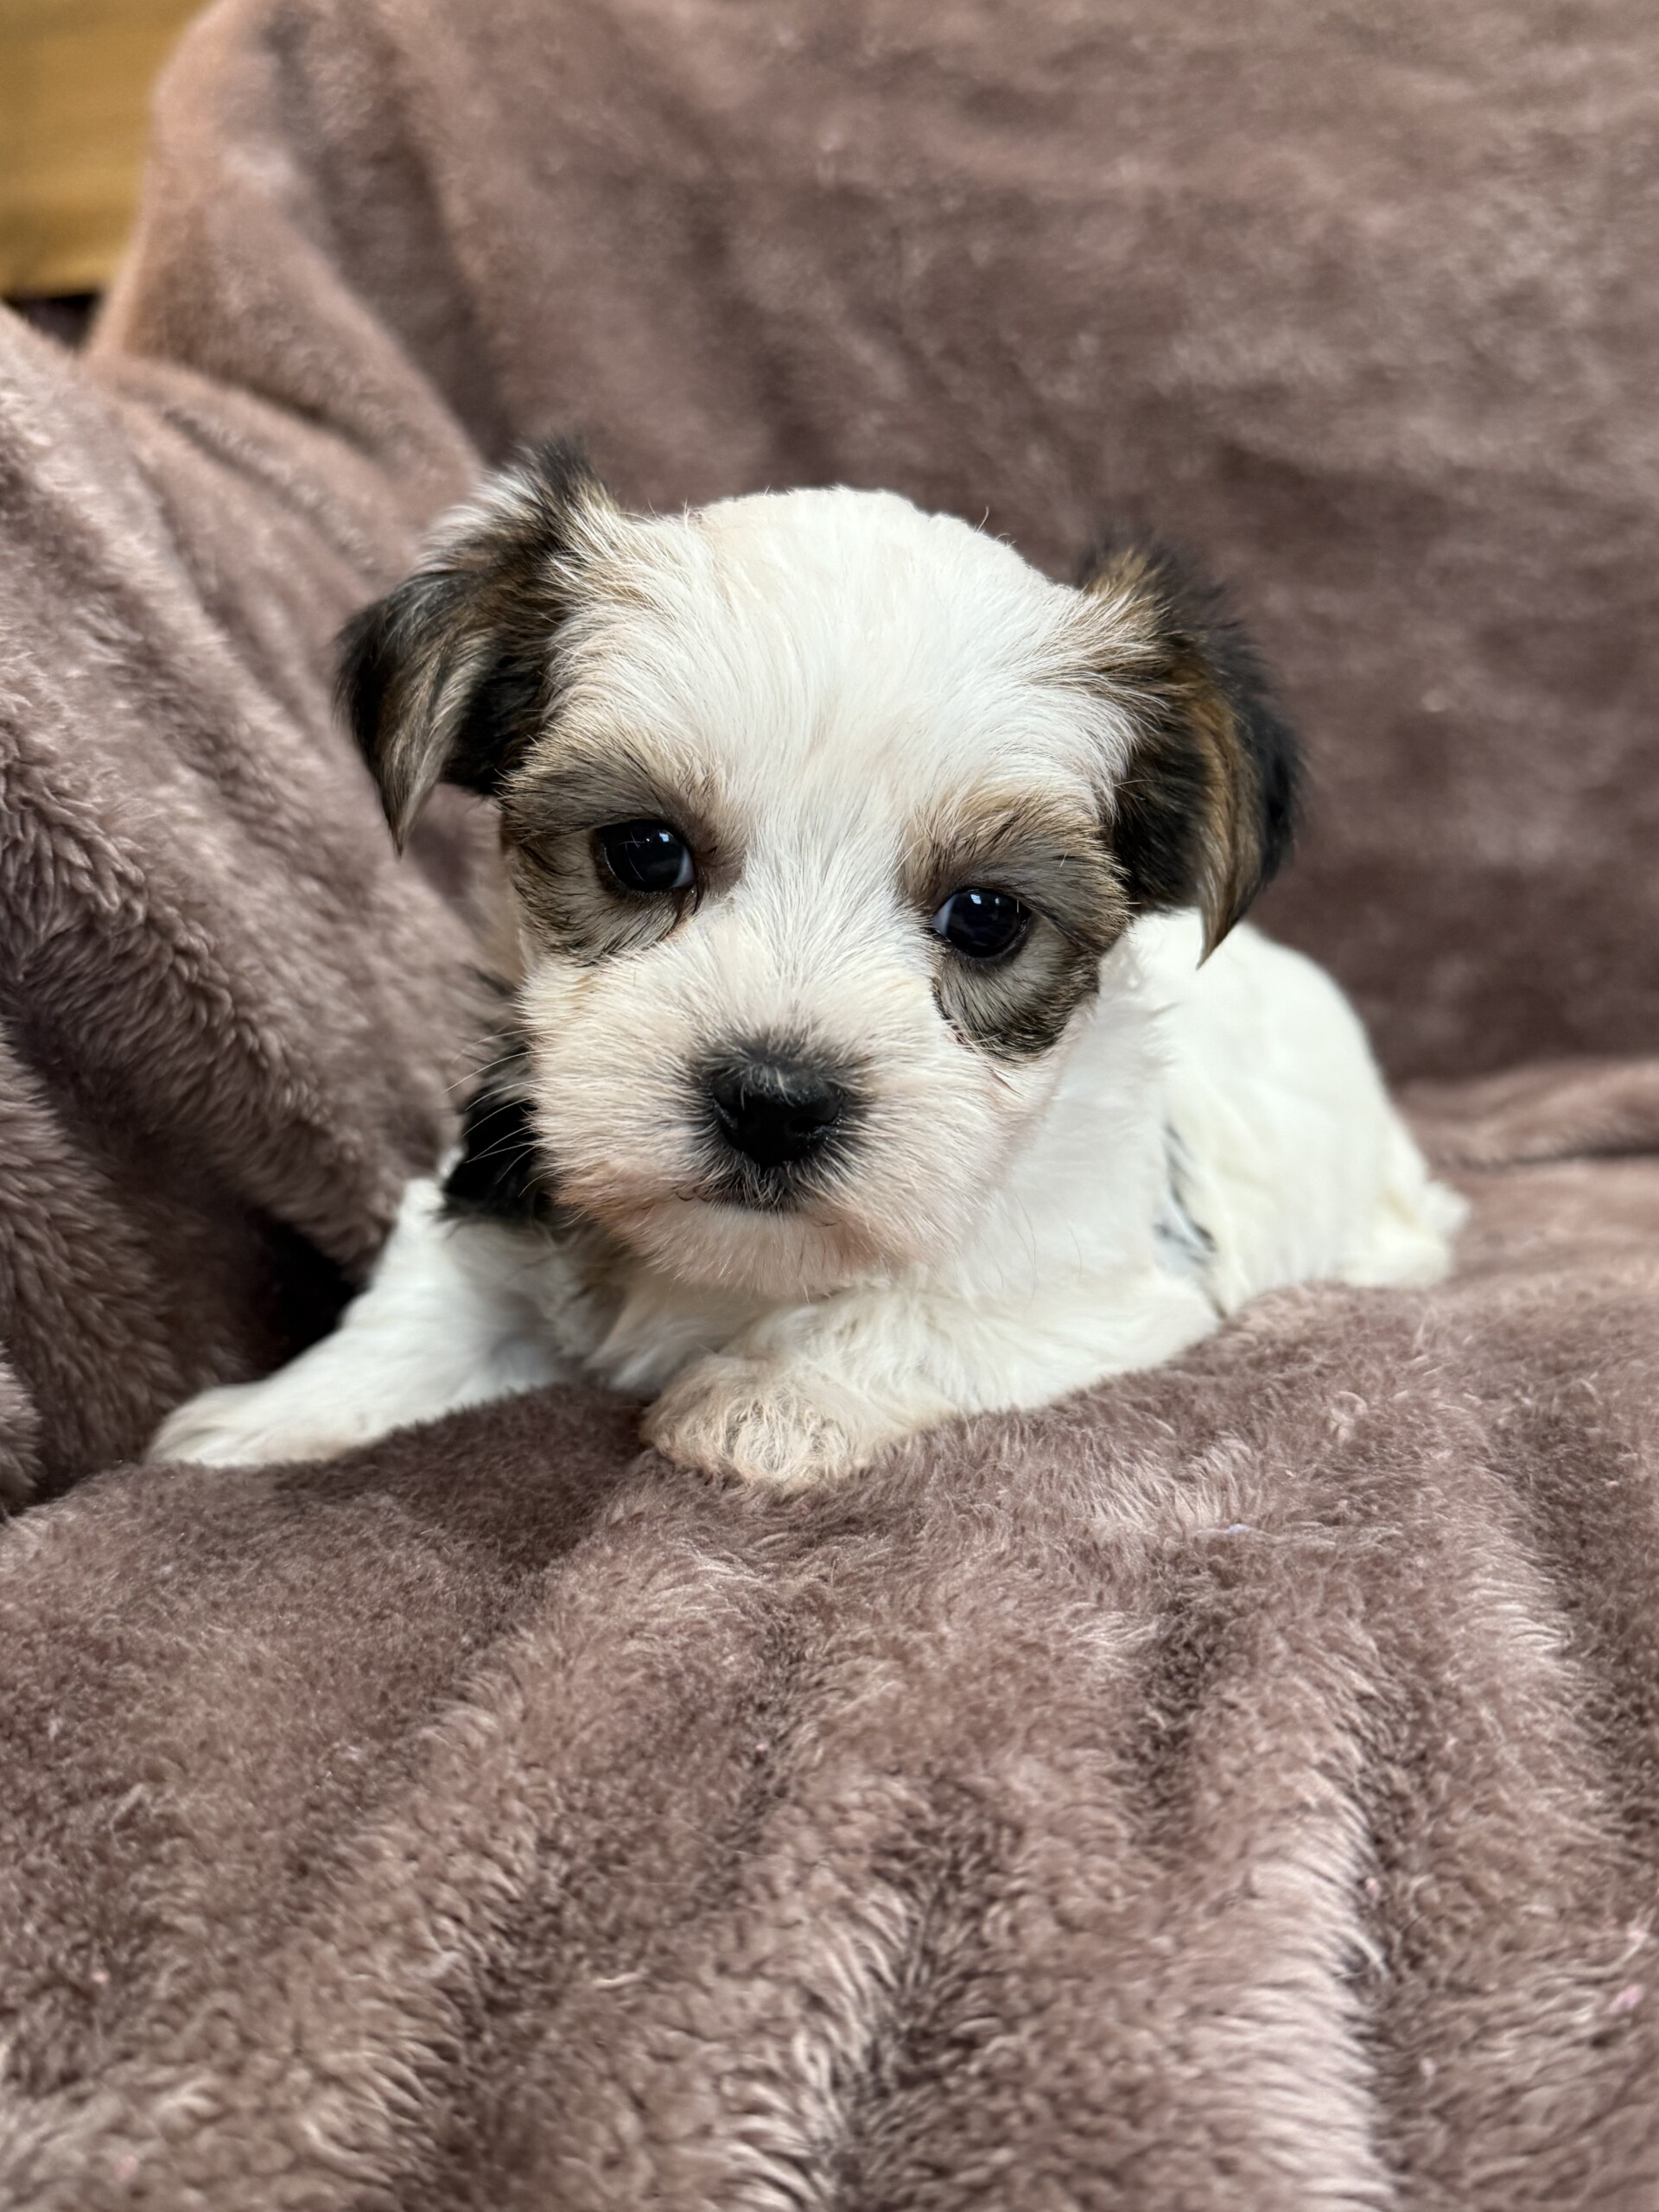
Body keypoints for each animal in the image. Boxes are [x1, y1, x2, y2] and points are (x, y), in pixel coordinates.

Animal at [150, 444, 1461, 1487]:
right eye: (643, 851)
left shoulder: (1103, 1296)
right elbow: (429, 1296)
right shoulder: (504, 1185)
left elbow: (922, 1307)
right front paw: (280, 1415)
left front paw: (770, 1396)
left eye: (985, 918)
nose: (774, 1101)